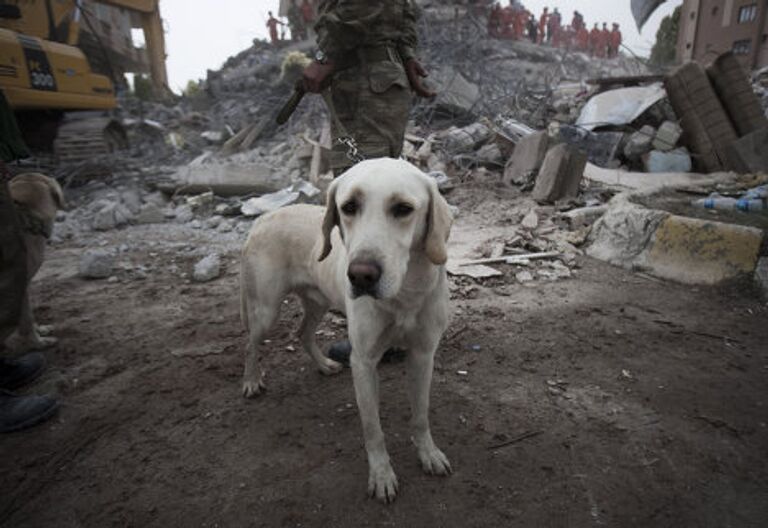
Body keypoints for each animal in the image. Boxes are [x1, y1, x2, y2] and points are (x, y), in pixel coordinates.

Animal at [240, 158, 452, 504]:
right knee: (250, 344)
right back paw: (250, 380)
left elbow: (421, 414)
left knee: (302, 333)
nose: (361, 275)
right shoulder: (363, 362)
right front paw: (381, 475)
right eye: (349, 206)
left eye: (403, 209)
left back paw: (324, 365)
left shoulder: (423, 354)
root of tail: (264, 217)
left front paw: (428, 453)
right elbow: (373, 428)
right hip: (266, 310)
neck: (404, 294)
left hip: (319, 301)